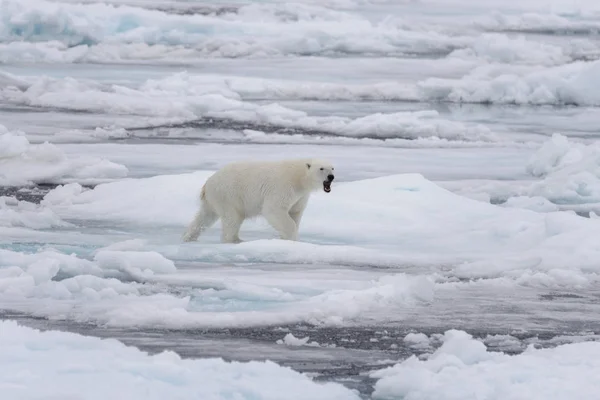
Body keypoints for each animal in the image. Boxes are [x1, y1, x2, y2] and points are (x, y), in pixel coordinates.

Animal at [180, 158, 336, 242]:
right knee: (232, 218)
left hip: (214, 198)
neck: (298, 177)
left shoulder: (300, 196)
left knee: (205, 216)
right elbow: (274, 209)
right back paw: (234, 240)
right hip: (229, 194)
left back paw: (189, 236)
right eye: (321, 168)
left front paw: (287, 238)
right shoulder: (283, 187)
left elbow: (295, 212)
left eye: (332, 168)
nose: (331, 177)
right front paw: (291, 238)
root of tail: (208, 183)